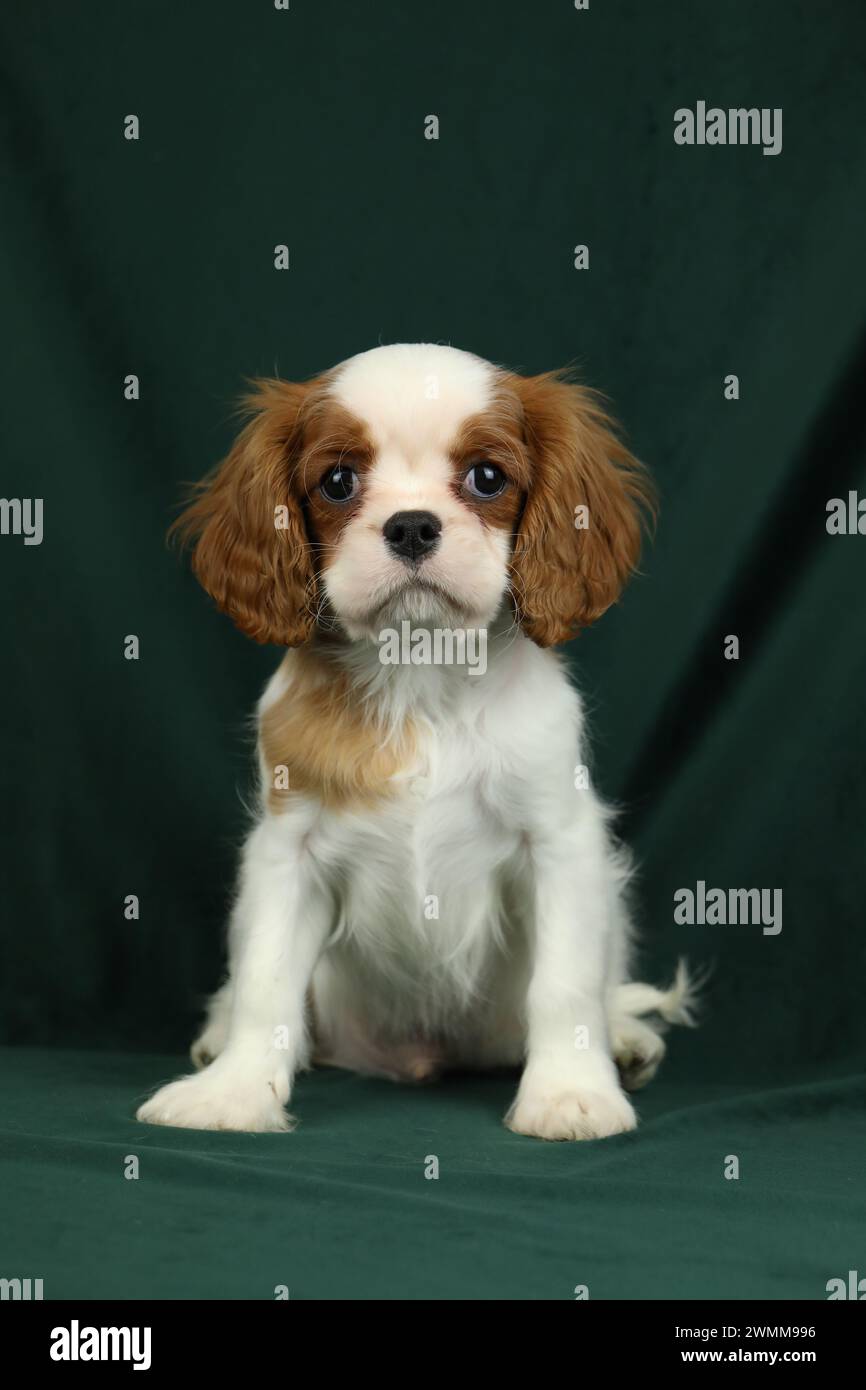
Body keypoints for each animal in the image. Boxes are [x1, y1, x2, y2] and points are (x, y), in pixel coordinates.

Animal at [136, 341, 692, 1134]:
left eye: (487, 477)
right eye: (338, 482)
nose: (411, 525)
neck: (421, 672)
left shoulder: (560, 841)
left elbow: (565, 983)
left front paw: (569, 1093)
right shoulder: (286, 851)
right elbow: (265, 981)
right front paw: (233, 1093)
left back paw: (625, 1038)